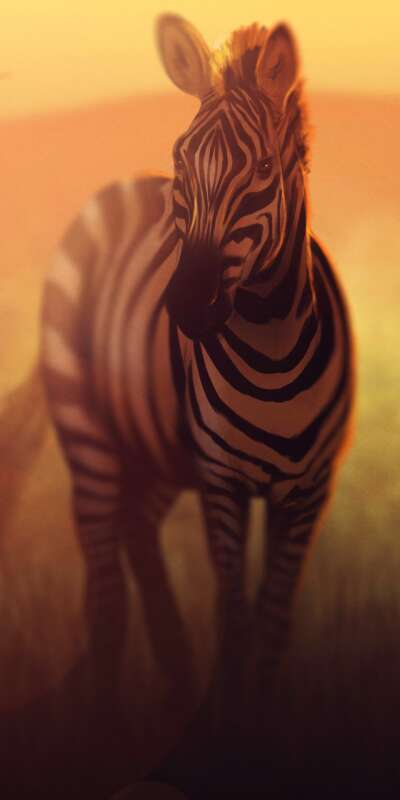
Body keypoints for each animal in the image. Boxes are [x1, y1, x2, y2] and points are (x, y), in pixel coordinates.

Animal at [39, 15, 355, 732]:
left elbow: (272, 619)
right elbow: (233, 616)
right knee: (104, 584)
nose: (184, 306)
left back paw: (181, 678)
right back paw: (105, 718)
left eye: (263, 169)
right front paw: (228, 727)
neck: (274, 351)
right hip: (88, 428)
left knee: (136, 530)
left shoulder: (308, 491)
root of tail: (120, 186)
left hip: (159, 450)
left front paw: (253, 724)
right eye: (182, 160)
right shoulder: (222, 481)